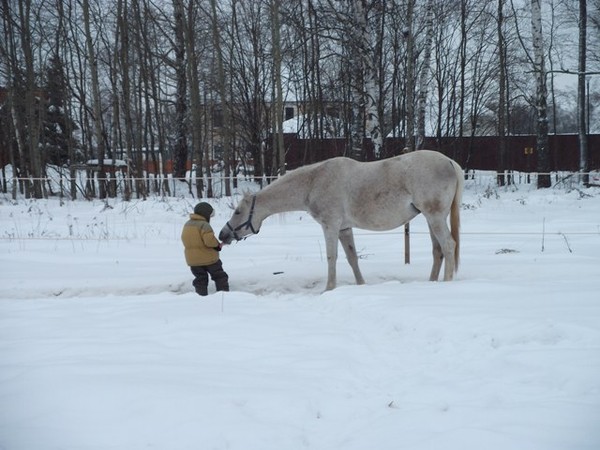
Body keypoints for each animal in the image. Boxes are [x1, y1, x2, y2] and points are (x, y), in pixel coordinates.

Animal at [219, 150, 464, 292]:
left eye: (238, 212)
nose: (223, 234)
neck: (313, 182)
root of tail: (450, 162)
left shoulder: (331, 225)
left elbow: (332, 257)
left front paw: (328, 289)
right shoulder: (344, 228)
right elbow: (352, 258)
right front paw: (360, 286)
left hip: (435, 217)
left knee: (448, 246)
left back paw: (446, 284)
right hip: (431, 218)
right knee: (438, 251)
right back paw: (431, 283)